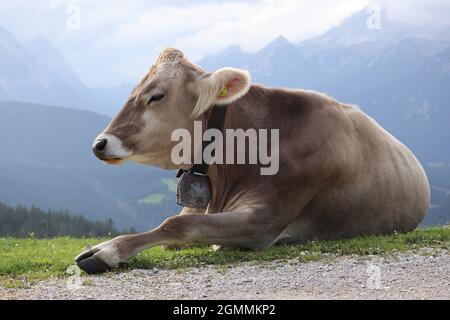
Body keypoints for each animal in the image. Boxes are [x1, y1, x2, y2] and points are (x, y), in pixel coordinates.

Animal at [75, 48, 430, 274]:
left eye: (157, 95)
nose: (99, 144)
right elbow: (174, 228)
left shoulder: (265, 221)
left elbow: (177, 224)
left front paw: (107, 251)